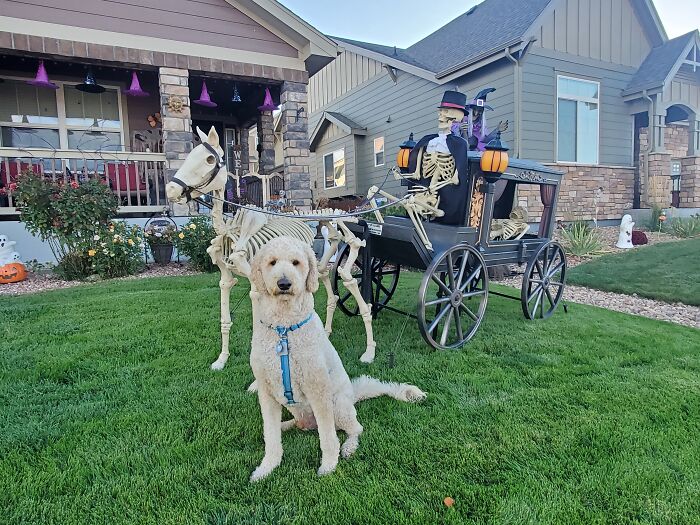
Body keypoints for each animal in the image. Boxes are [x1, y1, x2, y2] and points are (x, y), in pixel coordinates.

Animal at [250, 235, 426, 482]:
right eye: (272, 262)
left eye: (296, 262)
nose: (284, 284)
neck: (283, 330)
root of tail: (352, 395)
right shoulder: (267, 392)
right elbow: (271, 437)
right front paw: (267, 467)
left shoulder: (318, 390)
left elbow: (328, 437)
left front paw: (329, 466)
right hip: (298, 409)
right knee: (297, 424)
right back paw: (285, 425)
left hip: (338, 406)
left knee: (355, 429)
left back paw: (349, 447)